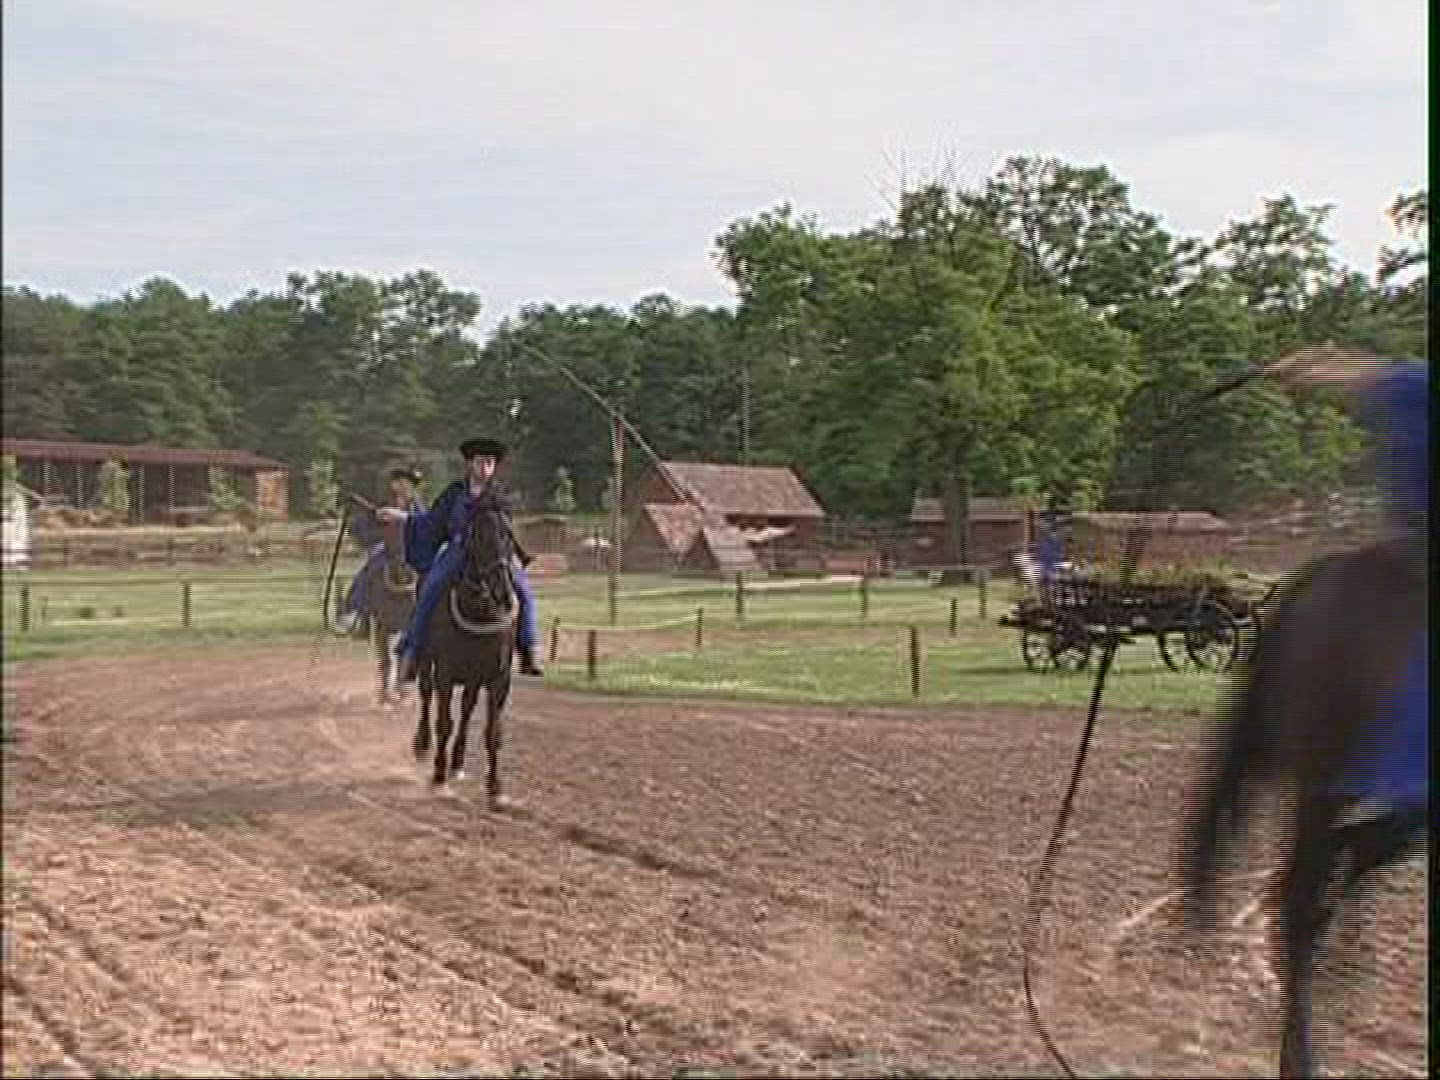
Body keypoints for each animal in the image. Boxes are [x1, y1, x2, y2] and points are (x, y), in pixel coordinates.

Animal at [410, 504, 517, 805]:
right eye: (479, 536)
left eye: (508, 534)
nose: (503, 592)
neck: (480, 611)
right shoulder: (445, 673)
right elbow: (444, 722)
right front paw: (438, 775)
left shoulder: (498, 678)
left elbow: (493, 732)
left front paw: (495, 787)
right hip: (428, 664)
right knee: (426, 696)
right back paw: (423, 745)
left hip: (473, 677)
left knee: (467, 709)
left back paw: (457, 762)